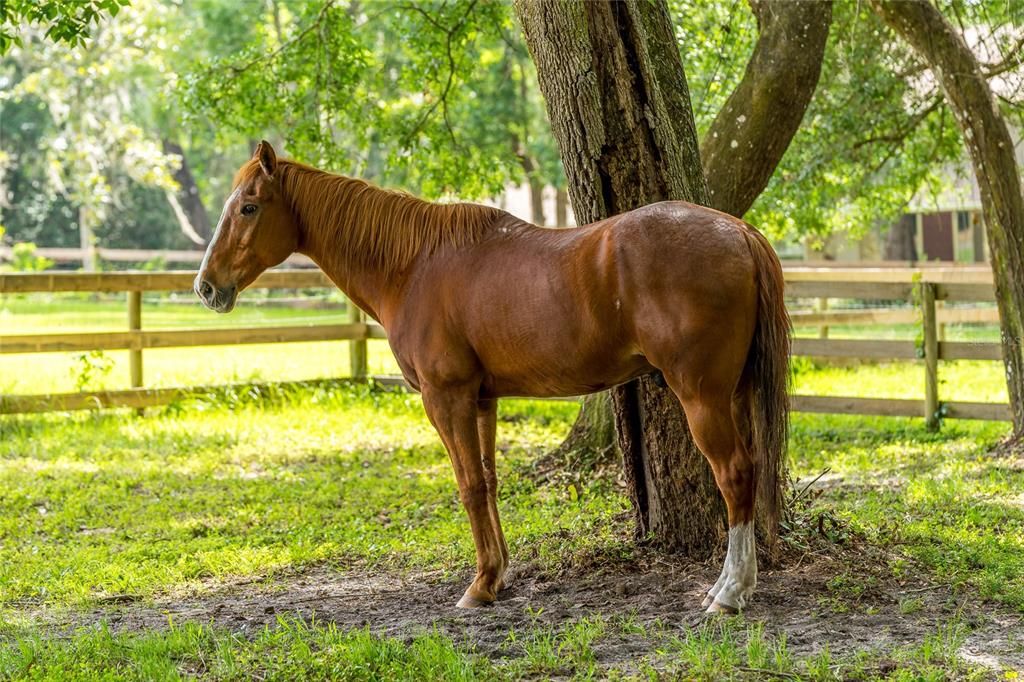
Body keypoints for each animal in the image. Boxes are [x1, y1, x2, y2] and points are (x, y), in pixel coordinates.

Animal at [197, 142, 790, 610]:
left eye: (248, 207)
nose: (206, 286)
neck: (413, 267)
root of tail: (738, 231)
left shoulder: (447, 398)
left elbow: (469, 485)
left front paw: (479, 585)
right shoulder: (483, 400)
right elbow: (489, 481)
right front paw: (498, 575)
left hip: (702, 396)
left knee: (735, 474)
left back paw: (729, 592)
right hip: (734, 393)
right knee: (753, 469)